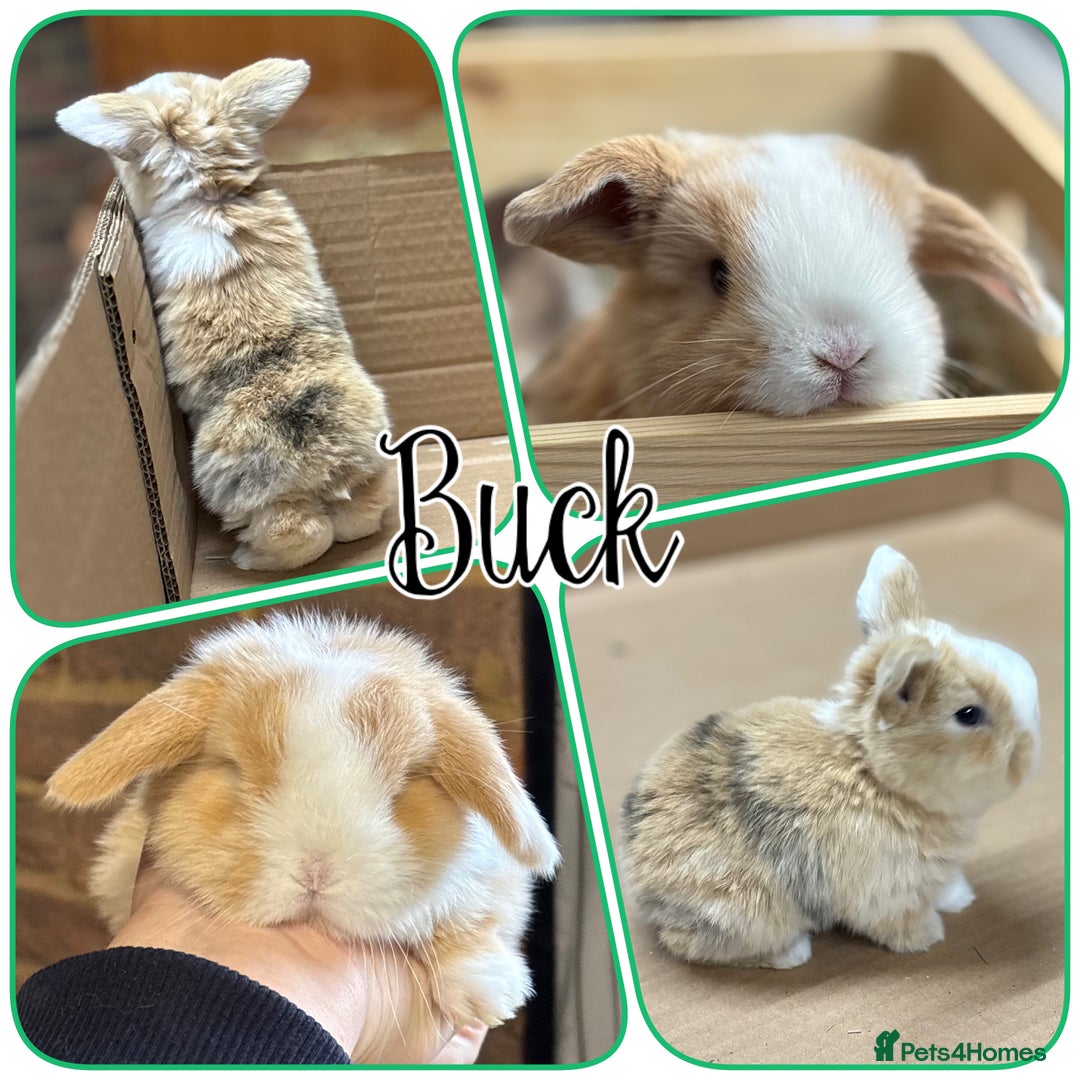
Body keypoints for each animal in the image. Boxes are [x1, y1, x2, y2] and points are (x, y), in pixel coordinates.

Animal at [55, 59, 393, 572]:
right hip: (369, 474)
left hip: (244, 490)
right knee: (358, 518)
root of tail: (325, 464)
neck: (212, 192)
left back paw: (247, 558)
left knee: (297, 533)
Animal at [620, 545, 1040, 969]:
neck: (871, 771)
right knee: (690, 944)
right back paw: (793, 954)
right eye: (968, 715)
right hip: (741, 910)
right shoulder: (884, 889)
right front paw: (927, 937)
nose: (1030, 754)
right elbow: (898, 919)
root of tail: (637, 869)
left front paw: (961, 897)